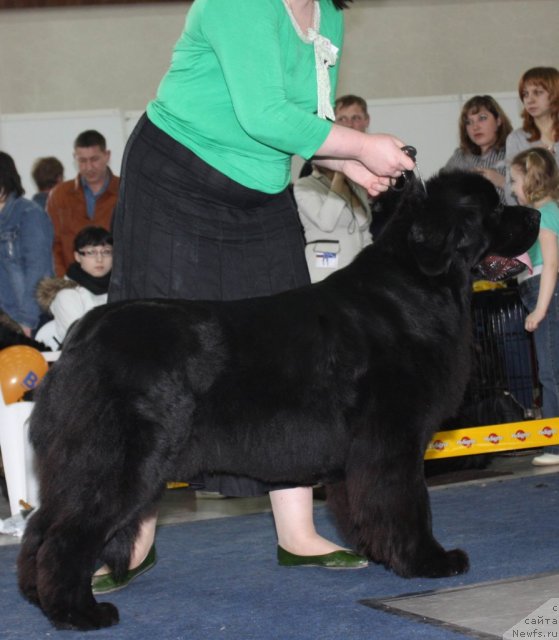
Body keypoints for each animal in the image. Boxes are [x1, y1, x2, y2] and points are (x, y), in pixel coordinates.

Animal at [19, 171, 540, 632]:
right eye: (494, 209)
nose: (536, 212)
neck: (416, 288)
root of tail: (82, 334)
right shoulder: (392, 439)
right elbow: (409, 502)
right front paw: (428, 560)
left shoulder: (360, 454)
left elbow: (366, 505)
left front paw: (378, 552)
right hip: (120, 461)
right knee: (66, 536)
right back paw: (78, 614)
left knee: (41, 526)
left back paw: (35, 598)